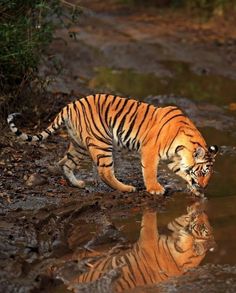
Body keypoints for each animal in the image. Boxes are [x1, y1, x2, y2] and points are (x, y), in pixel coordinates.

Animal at [6, 93, 218, 194]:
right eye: (204, 171)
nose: (205, 186)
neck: (183, 147)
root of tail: (71, 105)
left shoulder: (174, 159)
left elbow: (182, 171)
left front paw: (195, 190)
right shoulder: (150, 151)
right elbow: (150, 172)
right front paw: (155, 189)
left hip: (79, 145)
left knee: (64, 163)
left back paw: (78, 184)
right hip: (101, 142)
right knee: (105, 172)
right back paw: (127, 188)